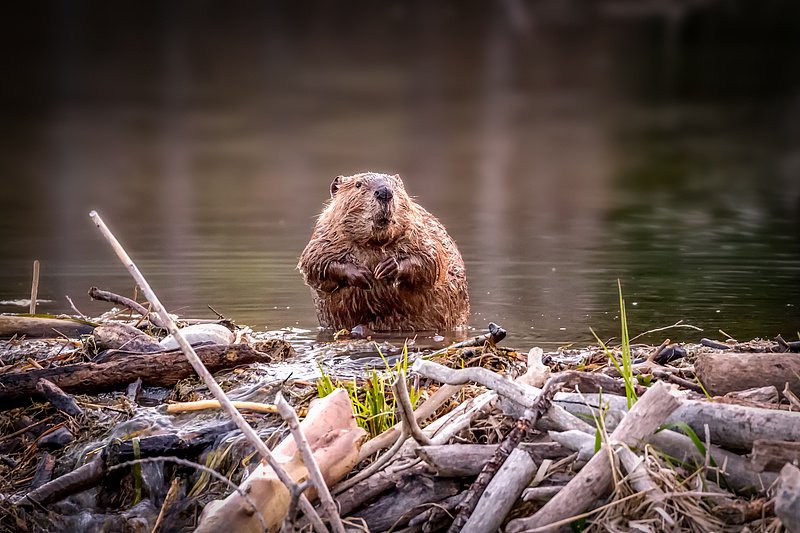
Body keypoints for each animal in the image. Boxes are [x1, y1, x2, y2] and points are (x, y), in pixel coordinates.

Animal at [298, 170, 468, 330]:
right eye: (358, 184)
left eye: (396, 185)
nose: (385, 192)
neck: (374, 243)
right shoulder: (324, 236)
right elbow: (314, 264)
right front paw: (362, 274)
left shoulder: (420, 230)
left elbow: (432, 259)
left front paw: (387, 268)